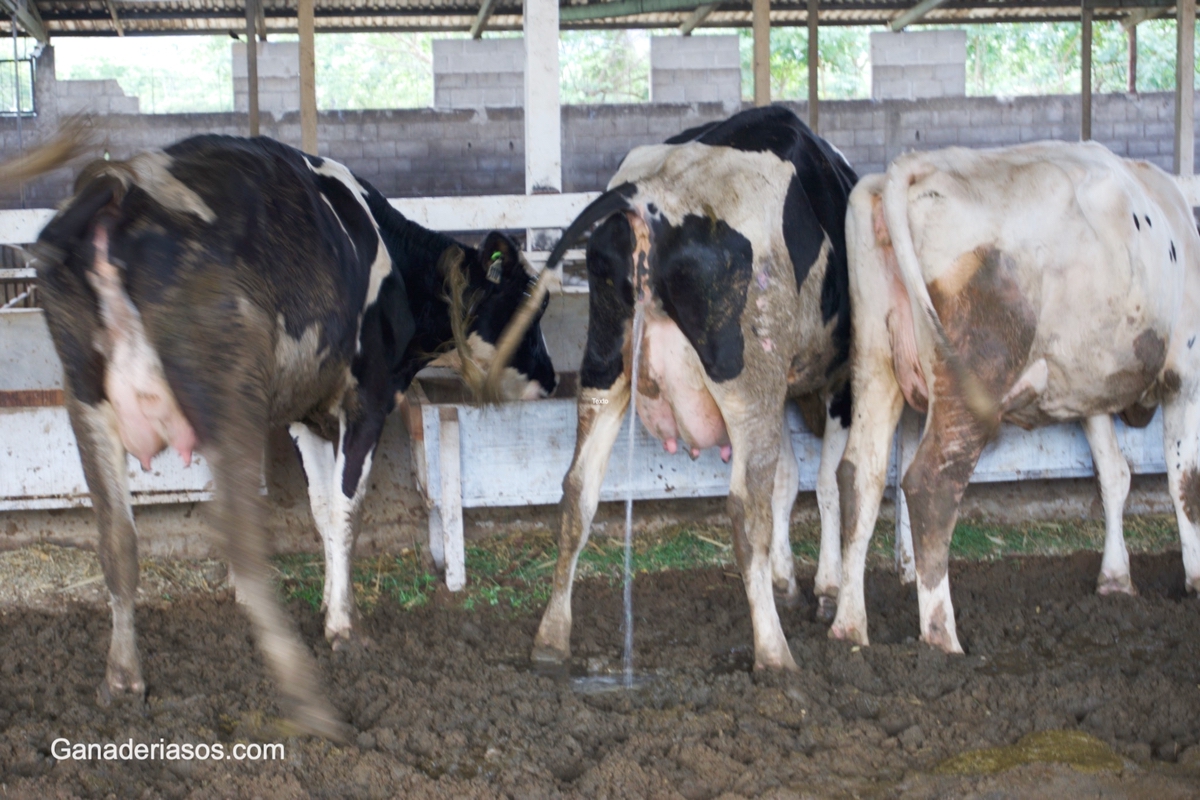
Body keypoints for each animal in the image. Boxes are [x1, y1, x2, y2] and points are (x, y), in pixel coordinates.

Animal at [34, 133, 556, 738]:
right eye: (528, 307)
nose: (551, 379)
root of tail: (122, 185)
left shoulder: (306, 415)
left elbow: (323, 512)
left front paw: (333, 607)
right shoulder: (366, 399)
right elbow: (349, 511)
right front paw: (344, 628)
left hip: (85, 400)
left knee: (118, 540)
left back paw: (122, 680)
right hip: (230, 397)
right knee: (241, 543)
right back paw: (310, 702)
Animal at [489, 104, 864, 671]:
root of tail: (652, 189)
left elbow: (788, 475)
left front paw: (787, 581)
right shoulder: (839, 377)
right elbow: (823, 483)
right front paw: (825, 588)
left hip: (607, 360)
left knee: (578, 490)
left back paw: (551, 640)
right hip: (746, 376)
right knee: (744, 509)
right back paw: (774, 654)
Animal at [835, 142, 1200, 657]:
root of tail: (920, 165)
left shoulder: (1088, 387)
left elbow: (1114, 474)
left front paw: (1114, 579)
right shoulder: (1185, 374)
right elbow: (1183, 483)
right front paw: (1195, 580)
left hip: (874, 360)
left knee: (859, 476)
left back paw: (849, 627)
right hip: (972, 376)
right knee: (931, 486)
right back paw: (943, 638)